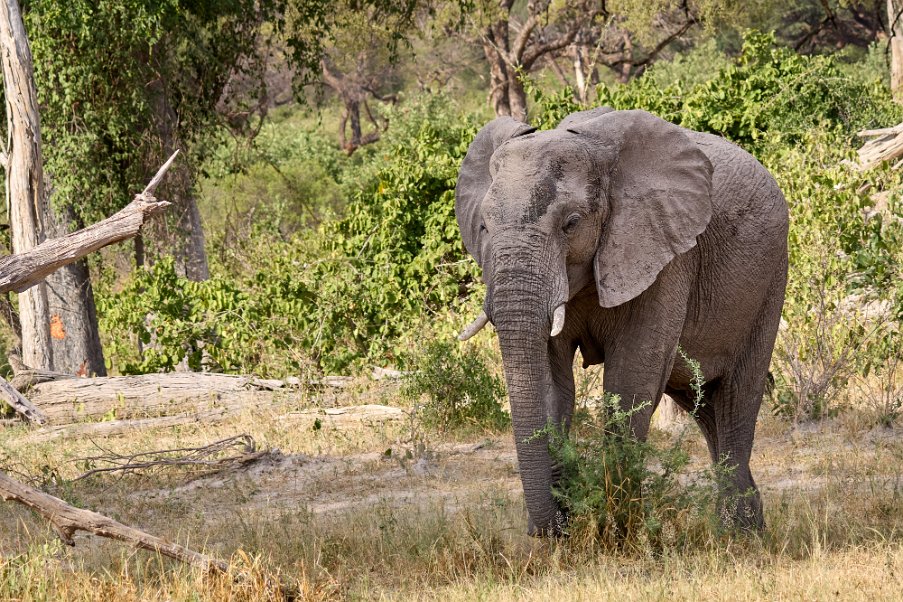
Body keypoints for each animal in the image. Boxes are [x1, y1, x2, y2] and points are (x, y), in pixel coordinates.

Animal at [456, 105, 788, 532]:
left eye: (572, 223)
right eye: (483, 226)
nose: (550, 528)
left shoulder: (665, 253)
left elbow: (630, 378)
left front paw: (619, 531)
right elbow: (551, 380)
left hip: (770, 278)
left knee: (736, 398)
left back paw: (739, 534)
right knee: (704, 407)